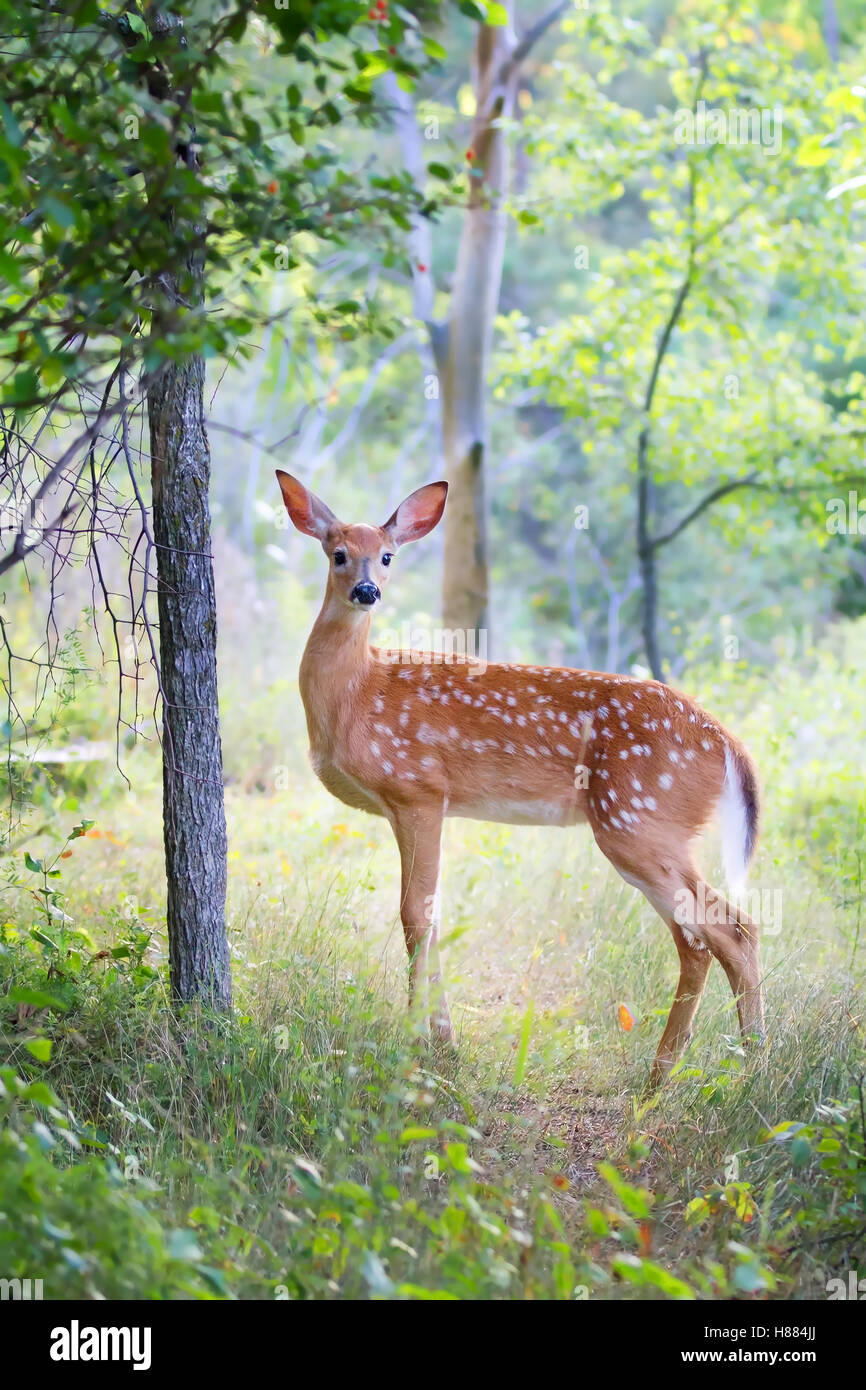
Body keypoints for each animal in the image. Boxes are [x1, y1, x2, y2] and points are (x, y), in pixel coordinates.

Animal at [275, 470, 765, 1086]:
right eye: (338, 553)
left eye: (387, 556)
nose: (367, 591)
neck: (358, 693)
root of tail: (728, 744)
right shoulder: (409, 804)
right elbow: (431, 915)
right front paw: (441, 1040)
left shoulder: (418, 788)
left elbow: (415, 914)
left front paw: (420, 1042)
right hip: (652, 830)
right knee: (703, 937)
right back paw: (676, 1070)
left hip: (638, 818)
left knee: (728, 929)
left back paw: (745, 1066)